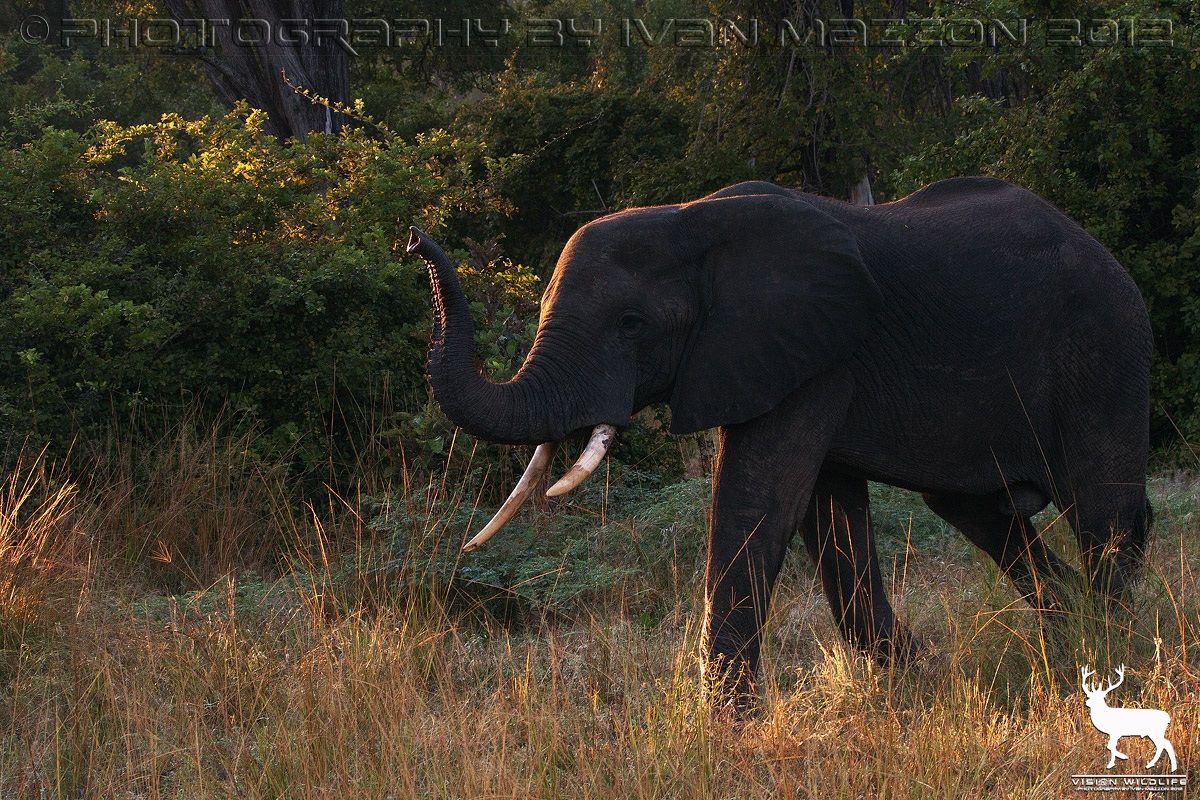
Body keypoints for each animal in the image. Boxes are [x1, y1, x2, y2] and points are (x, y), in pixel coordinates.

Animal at [407, 176, 1153, 705]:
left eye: (630, 323)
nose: (413, 239)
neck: (688, 221)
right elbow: (828, 519)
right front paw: (921, 685)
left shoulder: (809, 354)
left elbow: (759, 500)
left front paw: (723, 730)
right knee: (986, 515)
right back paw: (1069, 638)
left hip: (1102, 351)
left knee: (1104, 510)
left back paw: (1116, 656)